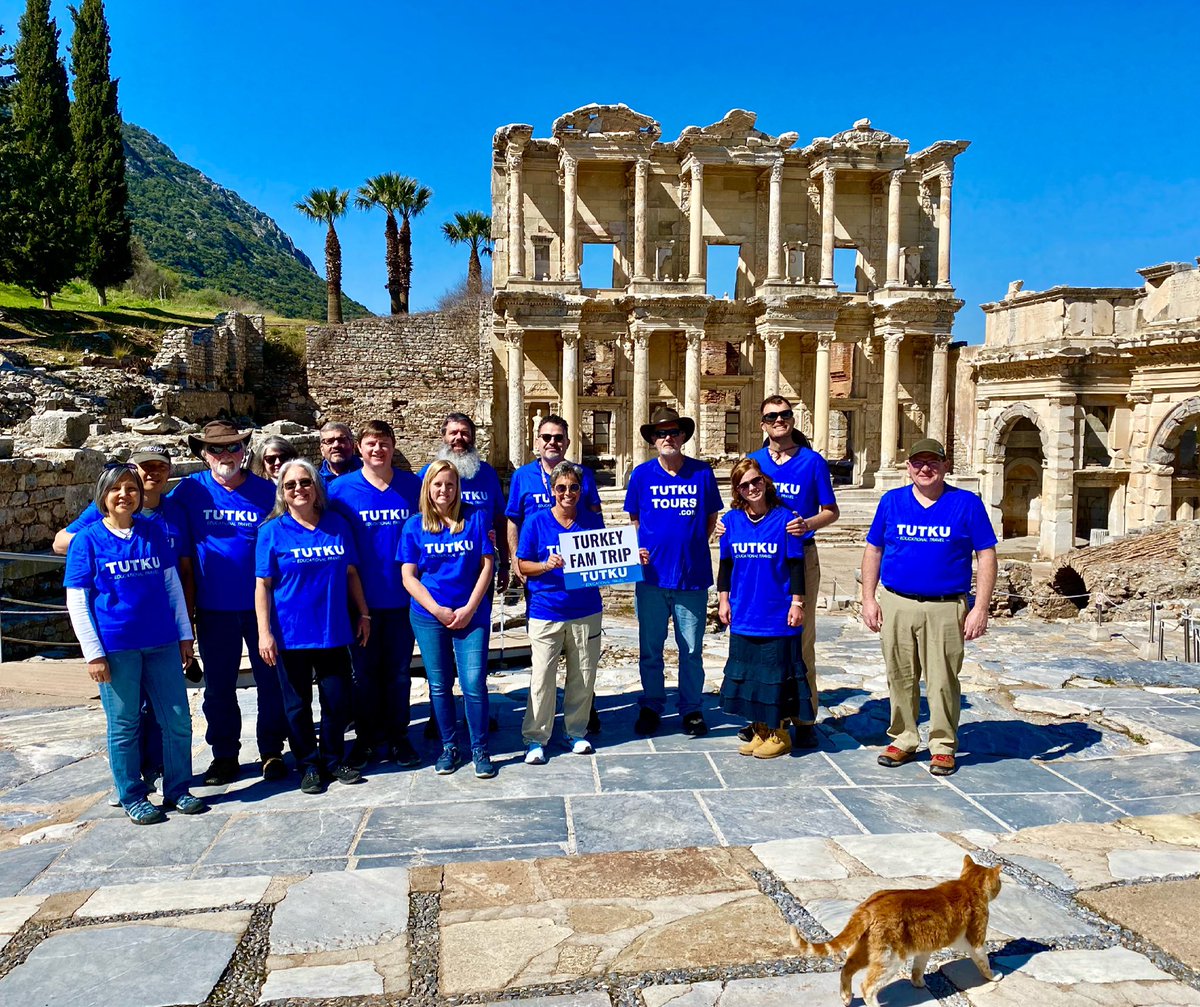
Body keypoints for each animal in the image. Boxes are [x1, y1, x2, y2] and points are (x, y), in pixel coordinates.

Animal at [787, 849, 1003, 1007]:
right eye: (999, 882)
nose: (1000, 887)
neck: (968, 886)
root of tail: (868, 907)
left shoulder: (924, 949)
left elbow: (918, 969)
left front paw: (918, 983)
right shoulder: (976, 941)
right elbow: (984, 964)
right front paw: (994, 977)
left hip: (867, 951)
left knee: (846, 969)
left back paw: (846, 998)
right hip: (891, 960)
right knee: (867, 987)